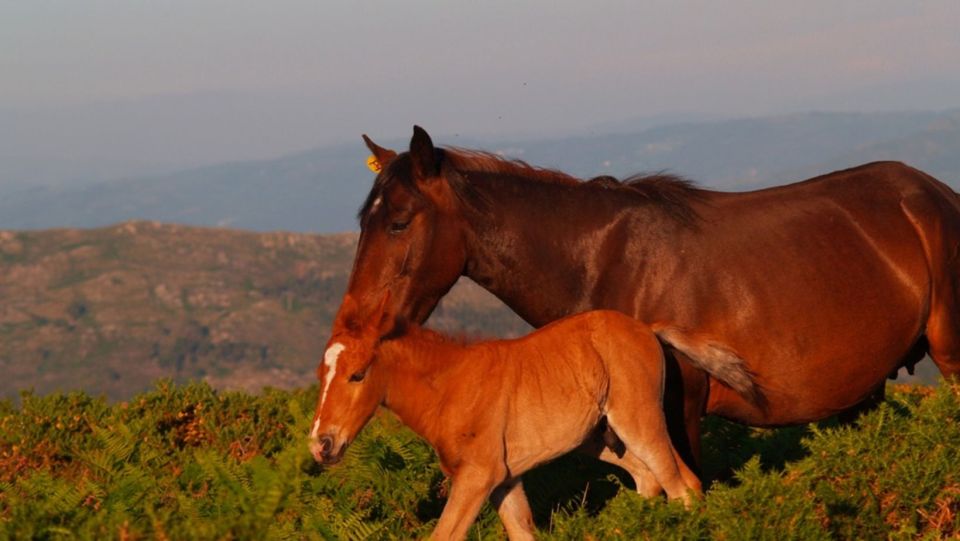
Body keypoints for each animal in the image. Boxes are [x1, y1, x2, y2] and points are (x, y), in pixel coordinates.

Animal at [312, 296, 700, 540]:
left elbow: (444, 534)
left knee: (682, 486)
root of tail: (647, 330)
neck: (450, 389)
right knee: (652, 478)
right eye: (321, 374)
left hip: (637, 419)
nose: (321, 445)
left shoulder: (478, 476)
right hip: (600, 439)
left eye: (358, 374)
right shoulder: (505, 481)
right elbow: (521, 532)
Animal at [328, 124, 960, 488]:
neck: (602, 261)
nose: (352, 330)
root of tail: (936, 193)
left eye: (398, 222)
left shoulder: (680, 408)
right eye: (363, 219)